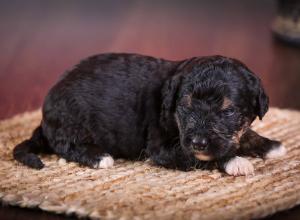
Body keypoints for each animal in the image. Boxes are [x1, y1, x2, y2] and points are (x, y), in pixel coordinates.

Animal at [13, 52, 286, 175]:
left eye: (228, 111)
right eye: (185, 106)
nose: (198, 141)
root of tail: (44, 119)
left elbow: (244, 134)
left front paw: (270, 145)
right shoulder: (161, 148)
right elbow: (199, 157)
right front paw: (236, 161)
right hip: (71, 121)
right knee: (66, 146)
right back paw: (100, 156)